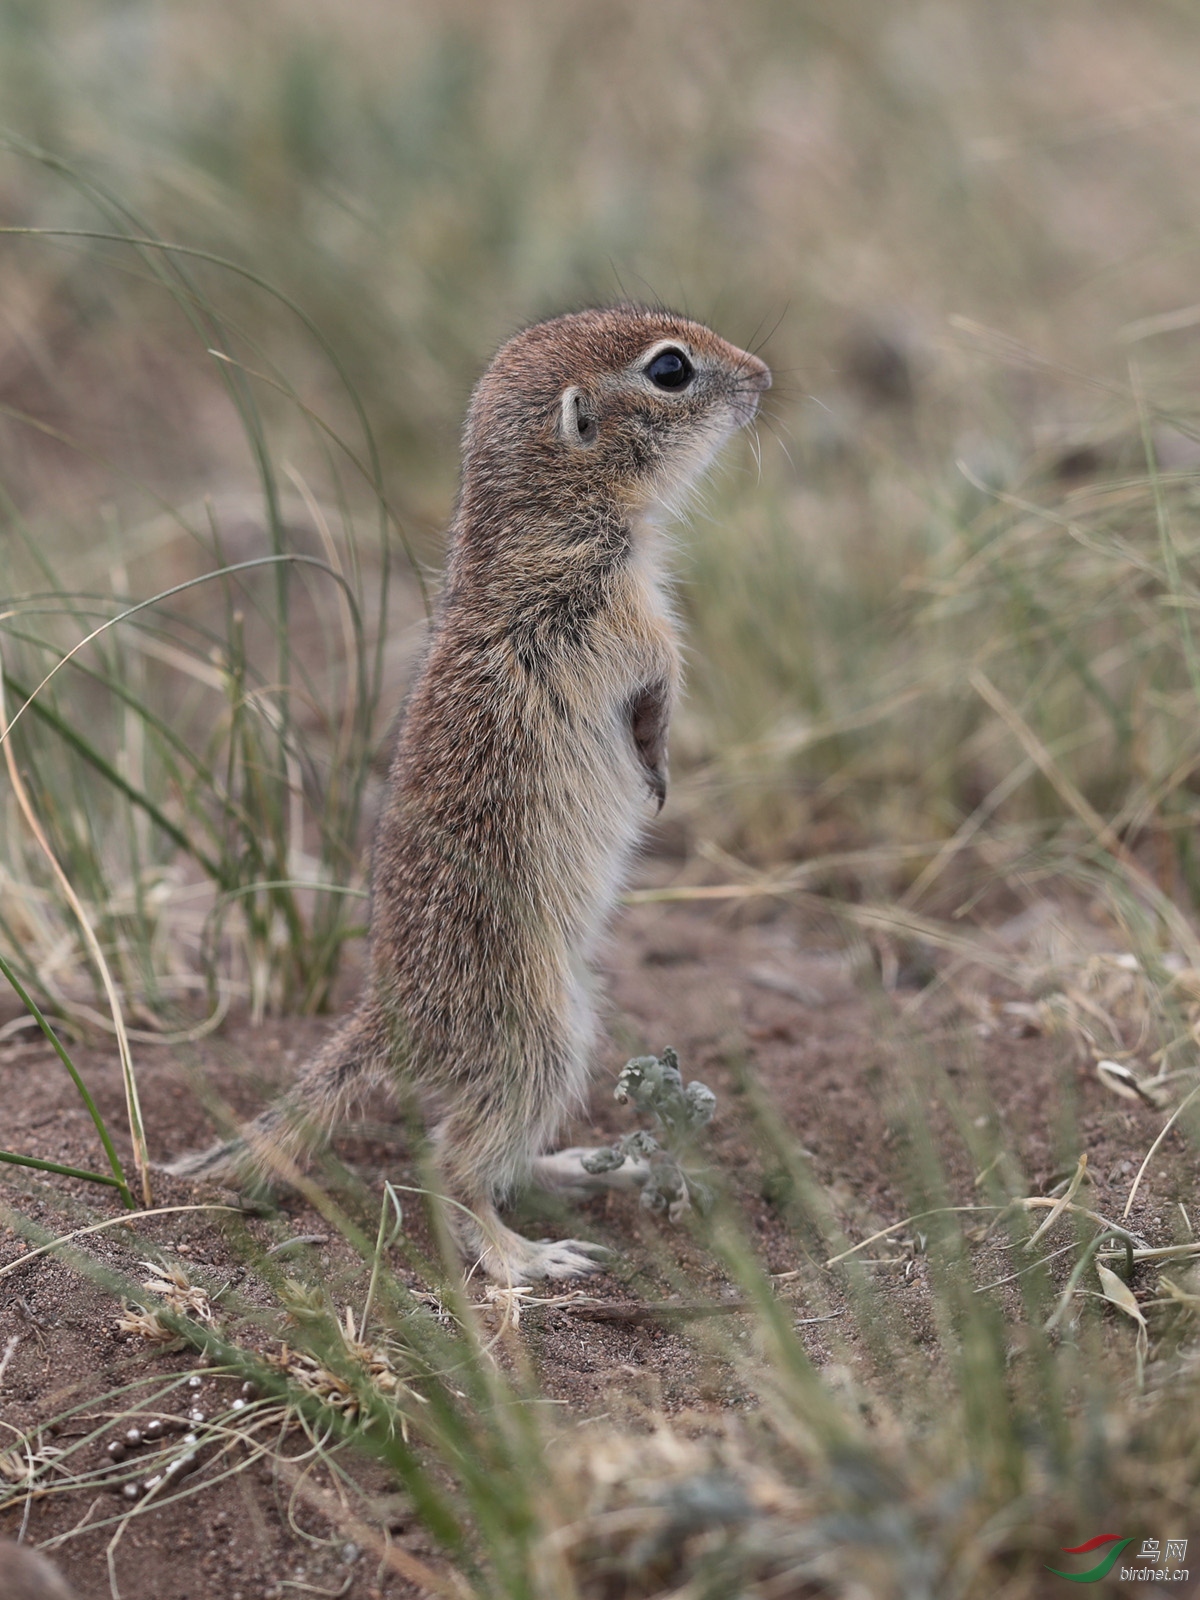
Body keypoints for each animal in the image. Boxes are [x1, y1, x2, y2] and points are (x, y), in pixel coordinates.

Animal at [167, 305, 771, 1286]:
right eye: (671, 370)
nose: (761, 376)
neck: (545, 522)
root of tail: (387, 1021)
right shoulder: (618, 614)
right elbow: (661, 672)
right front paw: (658, 760)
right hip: (538, 1034)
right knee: (453, 1167)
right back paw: (528, 1256)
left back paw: (582, 1166)